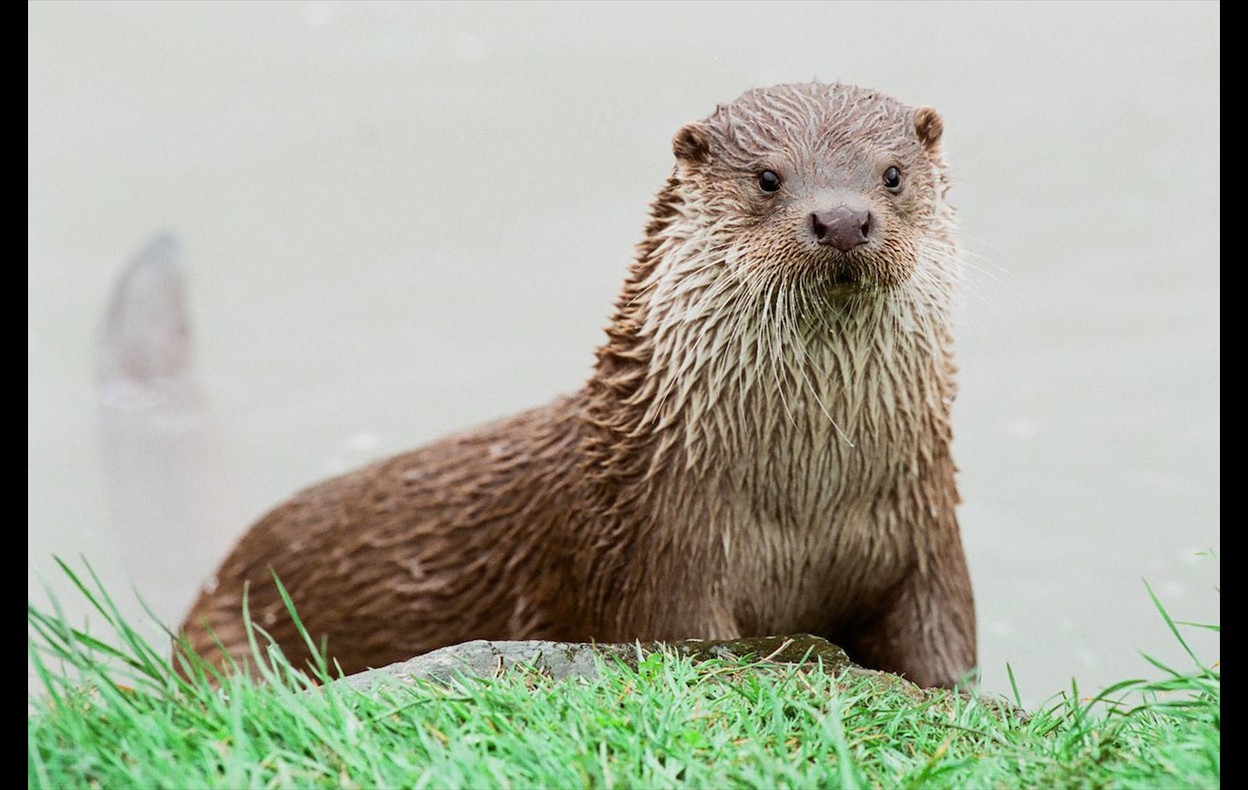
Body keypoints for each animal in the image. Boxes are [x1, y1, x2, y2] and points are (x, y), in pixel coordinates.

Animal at [179, 81, 976, 690]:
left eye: (892, 174)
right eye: (768, 178)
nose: (841, 218)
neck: (808, 498)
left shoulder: (928, 554)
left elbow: (943, 662)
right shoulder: (660, 570)